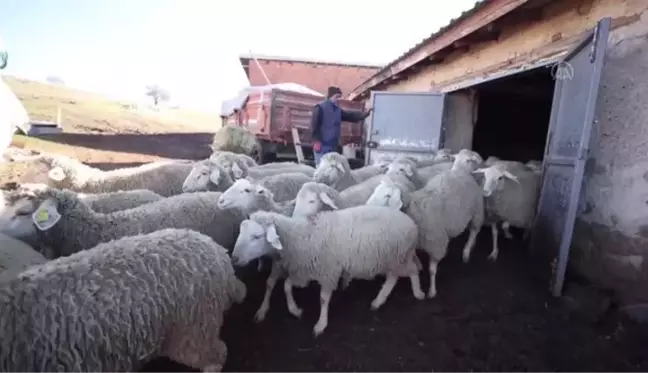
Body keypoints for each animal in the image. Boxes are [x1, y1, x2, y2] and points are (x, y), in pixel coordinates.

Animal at [230, 205, 422, 336]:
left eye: (256, 236)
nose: (234, 258)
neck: (300, 237)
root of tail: (412, 224)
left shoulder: (328, 272)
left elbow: (323, 299)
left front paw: (320, 325)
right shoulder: (303, 271)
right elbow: (286, 286)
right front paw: (295, 310)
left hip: (398, 256)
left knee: (409, 271)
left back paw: (417, 293)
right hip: (392, 259)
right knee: (393, 277)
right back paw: (378, 301)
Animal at [368, 148, 484, 296]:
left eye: (387, 196)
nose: (367, 205)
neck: (413, 209)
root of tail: (461, 171)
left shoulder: (436, 244)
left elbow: (432, 270)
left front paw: (432, 291)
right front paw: (418, 265)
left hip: (477, 210)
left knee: (474, 231)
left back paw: (467, 251)